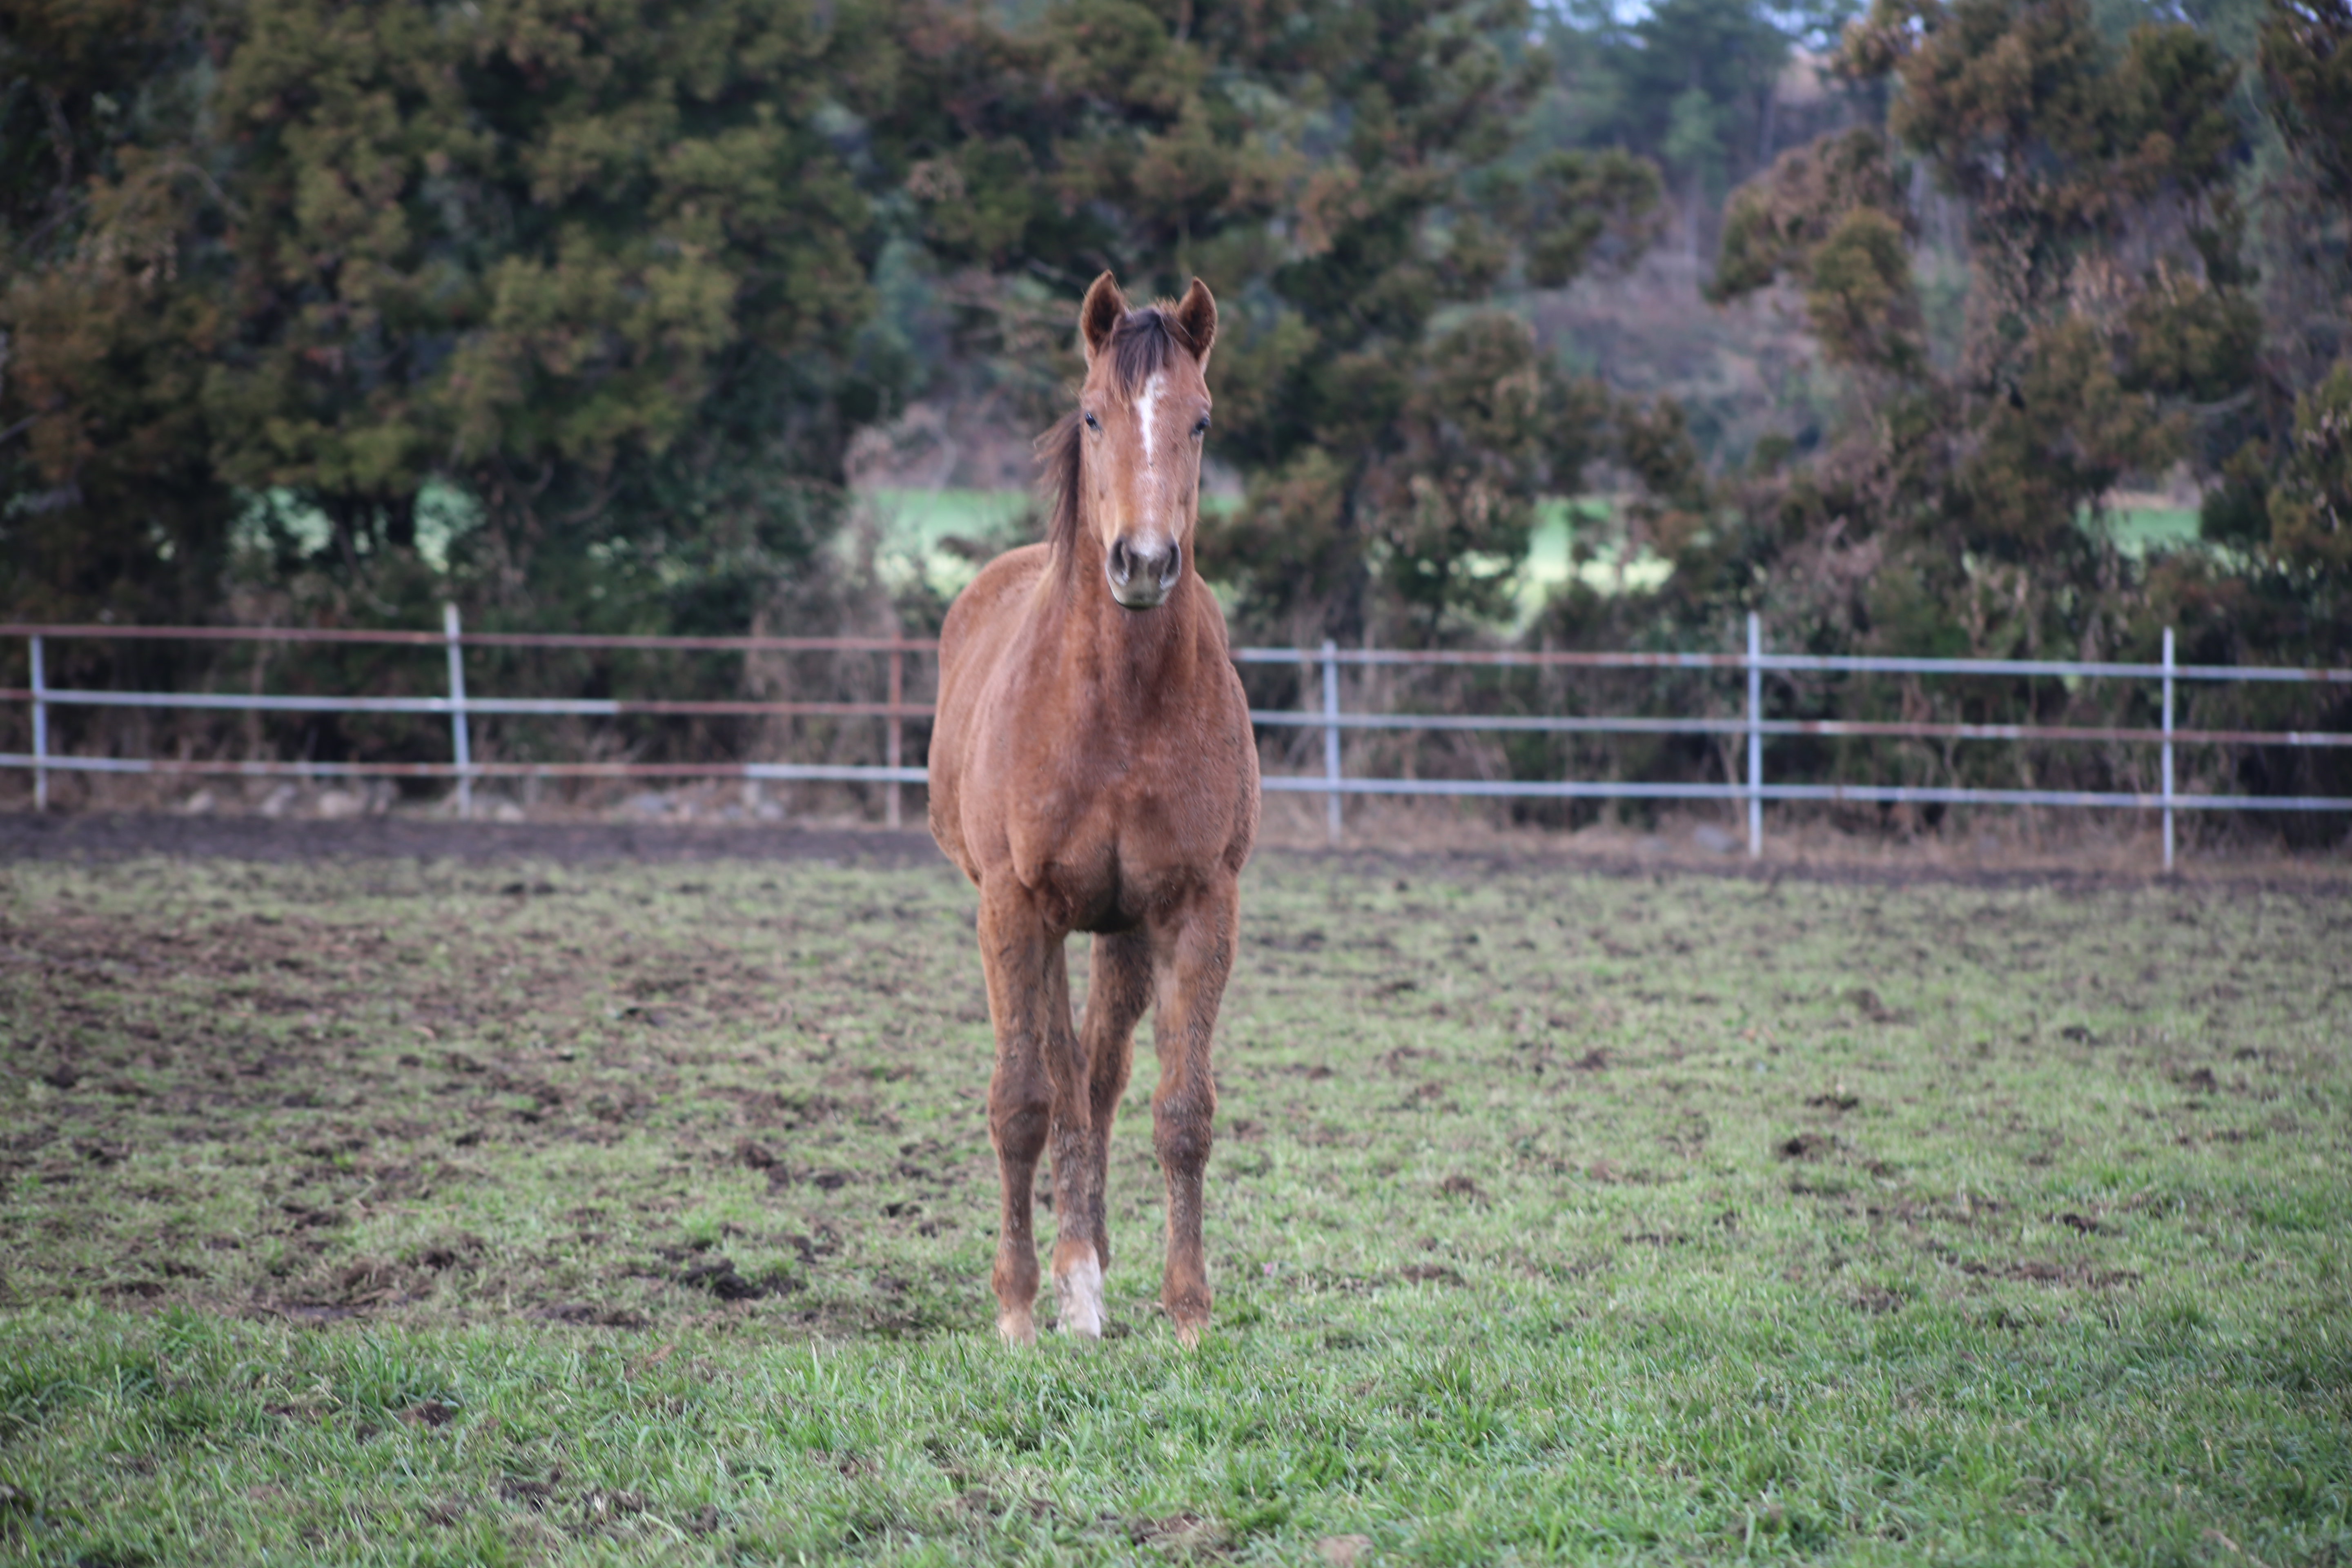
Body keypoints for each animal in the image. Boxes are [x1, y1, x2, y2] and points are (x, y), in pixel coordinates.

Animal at [927, 270, 1261, 1354]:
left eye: (1200, 419)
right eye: (1090, 414)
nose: (1142, 562)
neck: (1117, 703)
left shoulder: (1195, 906)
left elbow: (1180, 1110)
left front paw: (1188, 1312)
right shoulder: (1013, 906)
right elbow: (1023, 1101)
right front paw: (1019, 1307)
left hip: (1118, 930)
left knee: (1101, 1075)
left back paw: (1095, 1265)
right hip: (1031, 920)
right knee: (1056, 1072)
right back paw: (1069, 1279)